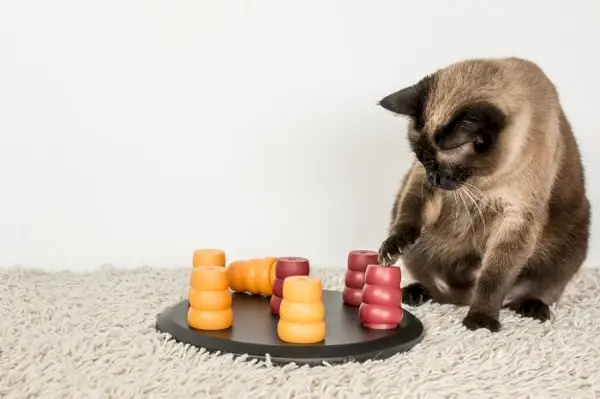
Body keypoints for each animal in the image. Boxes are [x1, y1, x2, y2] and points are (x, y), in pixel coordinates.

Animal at [378, 56, 588, 332]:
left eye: (443, 166)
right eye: (422, 159)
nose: (434, 178)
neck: (483, 182)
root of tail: (464, 297)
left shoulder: (515, 218)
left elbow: (492, 280)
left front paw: (481, 321)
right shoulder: (420, 185)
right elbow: (408, 216)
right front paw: (392, 248)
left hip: (568, 245)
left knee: (534, 291)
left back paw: (533, 309)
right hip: (421, 247)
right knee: (439, 288)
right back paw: (414, 293)